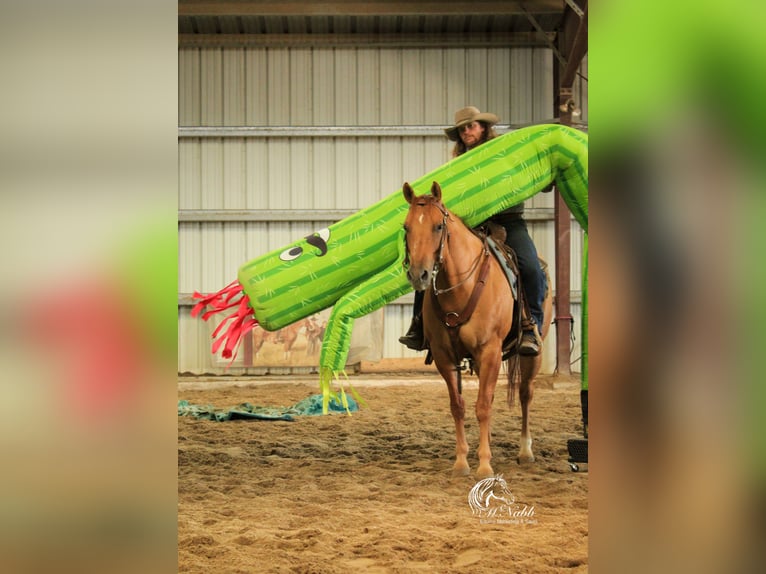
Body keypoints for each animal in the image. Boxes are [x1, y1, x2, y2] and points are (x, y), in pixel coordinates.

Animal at [402, 182, 552, 480]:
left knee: (525, 394)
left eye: (438, 226)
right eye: (406, 227)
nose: (419, 274)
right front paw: (462, 462)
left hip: (533, 354)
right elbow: (458, 406)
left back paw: (525, 451)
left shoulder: (489, 351)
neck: (462, 286)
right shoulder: (444, 356)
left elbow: (482, 407)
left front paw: (484, 465)